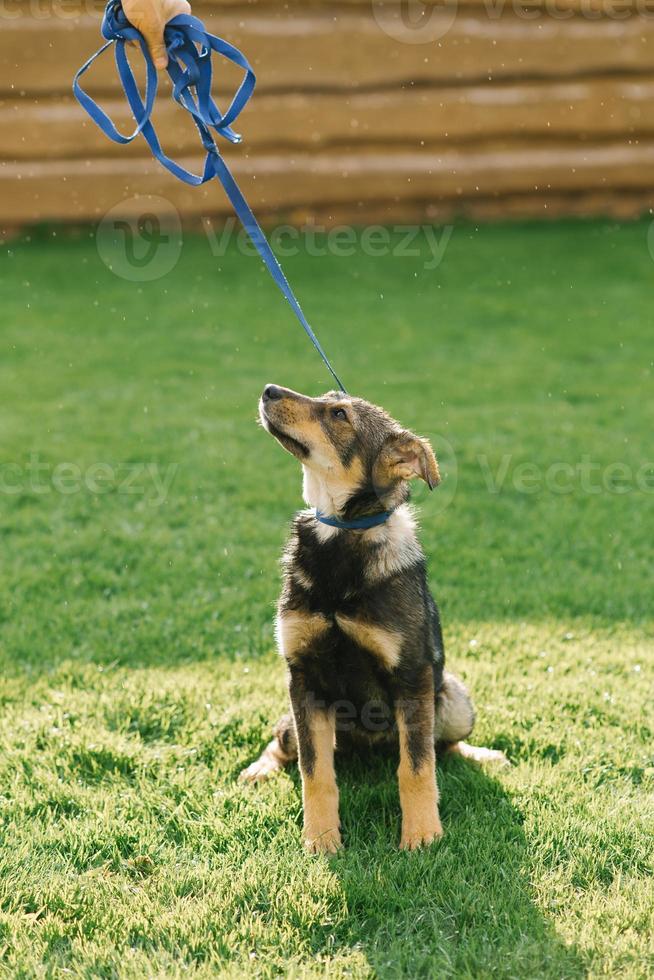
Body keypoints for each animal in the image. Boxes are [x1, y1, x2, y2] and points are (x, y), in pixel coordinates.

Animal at [241, 382, 508, 848]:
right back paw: (260, 769)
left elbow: (417, 767)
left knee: (443, 747)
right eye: (326, 399)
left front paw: (422, 836)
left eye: (340, 415)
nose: (268, 389)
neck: (340, 534)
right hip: (293, 717)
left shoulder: (412, 675)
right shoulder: (303, 677)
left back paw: (483, 755)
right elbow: (315, 772)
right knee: (283, 745)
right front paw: (321, 840)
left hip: (453, 699)